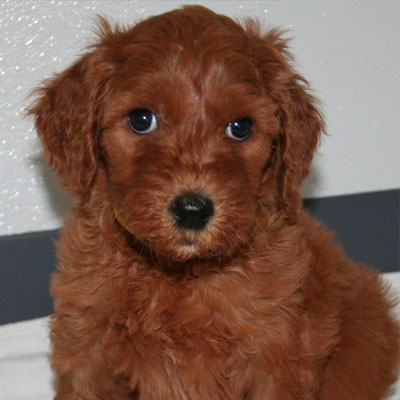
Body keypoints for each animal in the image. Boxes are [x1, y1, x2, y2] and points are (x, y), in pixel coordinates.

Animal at [28, 6, 400, 400]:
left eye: (241, 127)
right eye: (141, 119)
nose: (192, 209)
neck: (177, 273)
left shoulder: (276, 357)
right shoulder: (87, 348)